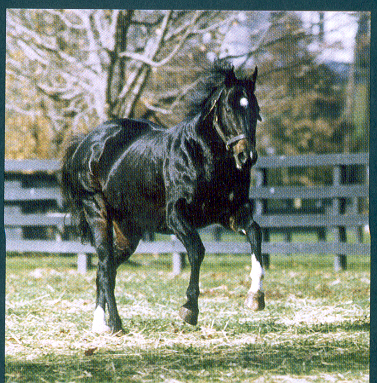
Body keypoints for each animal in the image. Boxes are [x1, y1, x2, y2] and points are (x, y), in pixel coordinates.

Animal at [60, 60, 262, 332]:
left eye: (255, 109)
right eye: (229, 109)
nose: (246, 157)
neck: (201, 156)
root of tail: (87, 143)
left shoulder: (230, 214)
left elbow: (255, 233)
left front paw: (256, 297)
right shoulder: (176, 217)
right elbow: (197, 251)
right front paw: (189, 309)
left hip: (128, 233)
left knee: (106, 269)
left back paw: (101, 323)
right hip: (97, 214)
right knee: (105, 265)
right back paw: (113, 324)